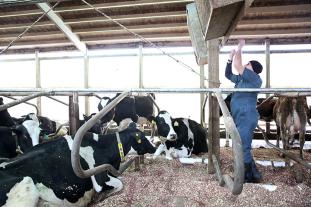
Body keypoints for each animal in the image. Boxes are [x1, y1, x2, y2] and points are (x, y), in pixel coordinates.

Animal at [0, 123, 156, 207]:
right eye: (143, 138)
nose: (154, 148)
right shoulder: (99, 178)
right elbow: (120, 184)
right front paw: (101, 197)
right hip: (26, 187)